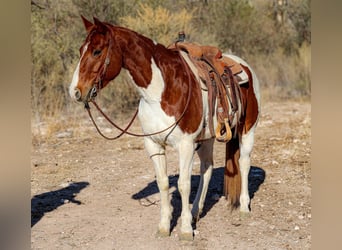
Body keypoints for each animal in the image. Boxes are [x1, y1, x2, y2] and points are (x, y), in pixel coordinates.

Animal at [70, 16, 262, 240]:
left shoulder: (186, 145)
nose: (75, 91)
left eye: (97, 51)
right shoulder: (153, 144)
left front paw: (186, 230)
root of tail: (244, 66)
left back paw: (244, 208)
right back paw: (196, 211)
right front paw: (164, 226)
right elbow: (163, 182)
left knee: (244, 163)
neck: (162, 91)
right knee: (207, 169)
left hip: (247, 129)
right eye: (81, 50)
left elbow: (183, 184)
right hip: (207, 138)